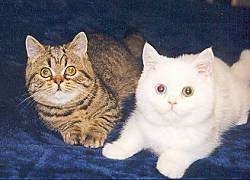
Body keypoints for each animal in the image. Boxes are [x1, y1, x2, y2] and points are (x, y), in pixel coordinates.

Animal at [102, 42, 250, 179]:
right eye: (160, 88)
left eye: (188, 91)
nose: (172, 101)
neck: (170, 126)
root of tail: (231, 71)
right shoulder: (139, 119)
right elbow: (131, 136)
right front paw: (116, 149)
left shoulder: (206, 139)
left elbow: (183, 150)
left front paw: (169, 165)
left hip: (238, 102)